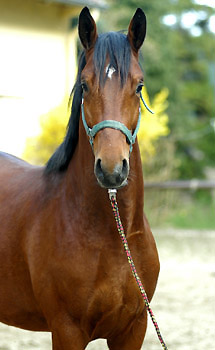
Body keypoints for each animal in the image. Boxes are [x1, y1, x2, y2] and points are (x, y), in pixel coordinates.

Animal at [0, 6, 158, 348]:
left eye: (139, 86)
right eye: (84, 85)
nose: (111, 169)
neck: (113, 238)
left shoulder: (133, 329)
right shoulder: (67, 330)